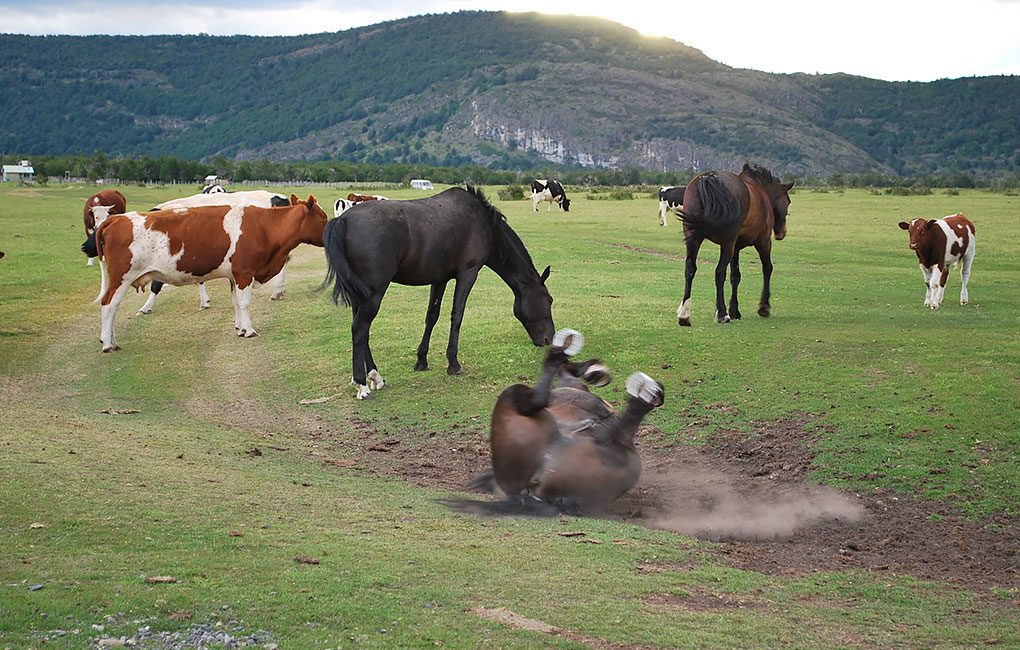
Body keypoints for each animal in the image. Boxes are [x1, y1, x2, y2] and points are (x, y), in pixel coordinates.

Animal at [93, 194, 326, 353]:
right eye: (323, 218)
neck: (263, 227)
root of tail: (116, 219)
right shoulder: (244, 273)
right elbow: (244, 303)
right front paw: (249, 330)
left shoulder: (234, 275)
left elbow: (235, 302)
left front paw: (241, 329)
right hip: (121, 278)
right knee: (109, 305)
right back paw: (107, 344)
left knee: (112, 307)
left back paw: (112, 341)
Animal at [322, 184, 554, 397]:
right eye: (549, 300)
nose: (548, 339)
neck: (484, 223)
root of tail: (343, 220)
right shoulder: (468, 274)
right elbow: (457, 316)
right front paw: (453, 363)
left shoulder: (439, 280)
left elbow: (431, 316)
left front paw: (421, 360)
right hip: (373, 294)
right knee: (360, 329)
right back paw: (362, 383)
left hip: (360, 295)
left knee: (363, 331)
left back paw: (374, 376)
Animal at [681, 162, 791, 324]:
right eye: (788, 201)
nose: (782, 232)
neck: (760, 190)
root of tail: (708, 179)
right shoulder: (763, 242)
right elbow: (767, 268)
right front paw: (764, 306)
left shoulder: (736, 248)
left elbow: (735, 276)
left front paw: (734, 310)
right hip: (728, 243)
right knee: (719, 272)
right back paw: (722, 314)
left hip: (694, 240)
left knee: (690, 269)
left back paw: (684, 314)